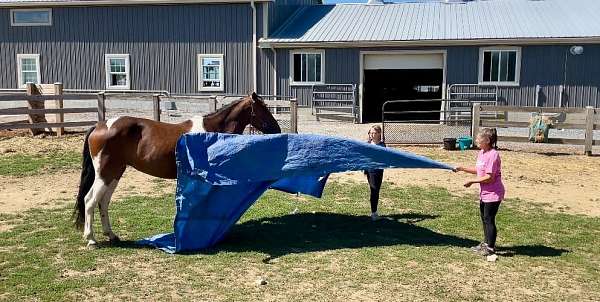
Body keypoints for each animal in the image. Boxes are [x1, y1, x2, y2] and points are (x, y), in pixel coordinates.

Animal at [75, 93, 282, 247]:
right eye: (263, 109)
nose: (277, 128)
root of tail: (100, 126)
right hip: (105, 174)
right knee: (90, 200)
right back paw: (91, 239)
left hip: (114, 174)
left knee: (103, 202)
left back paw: (111, 235)